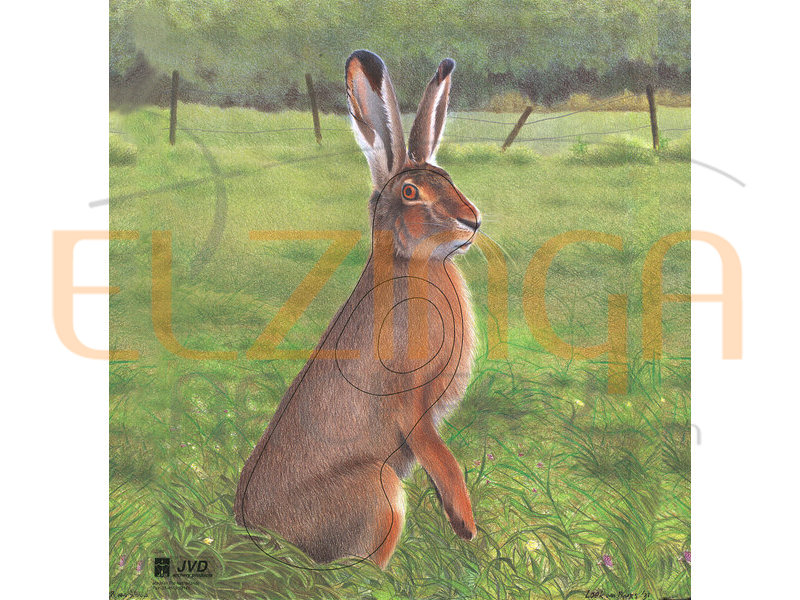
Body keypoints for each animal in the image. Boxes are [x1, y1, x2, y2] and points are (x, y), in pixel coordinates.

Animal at [234, 50, 481, 569]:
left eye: (448, 178)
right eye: (410, 192)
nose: (472, 221)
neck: (413, 263)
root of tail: (255, 533)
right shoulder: (412, 403)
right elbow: (441, 458)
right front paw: (466, 527)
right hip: (379, 493)